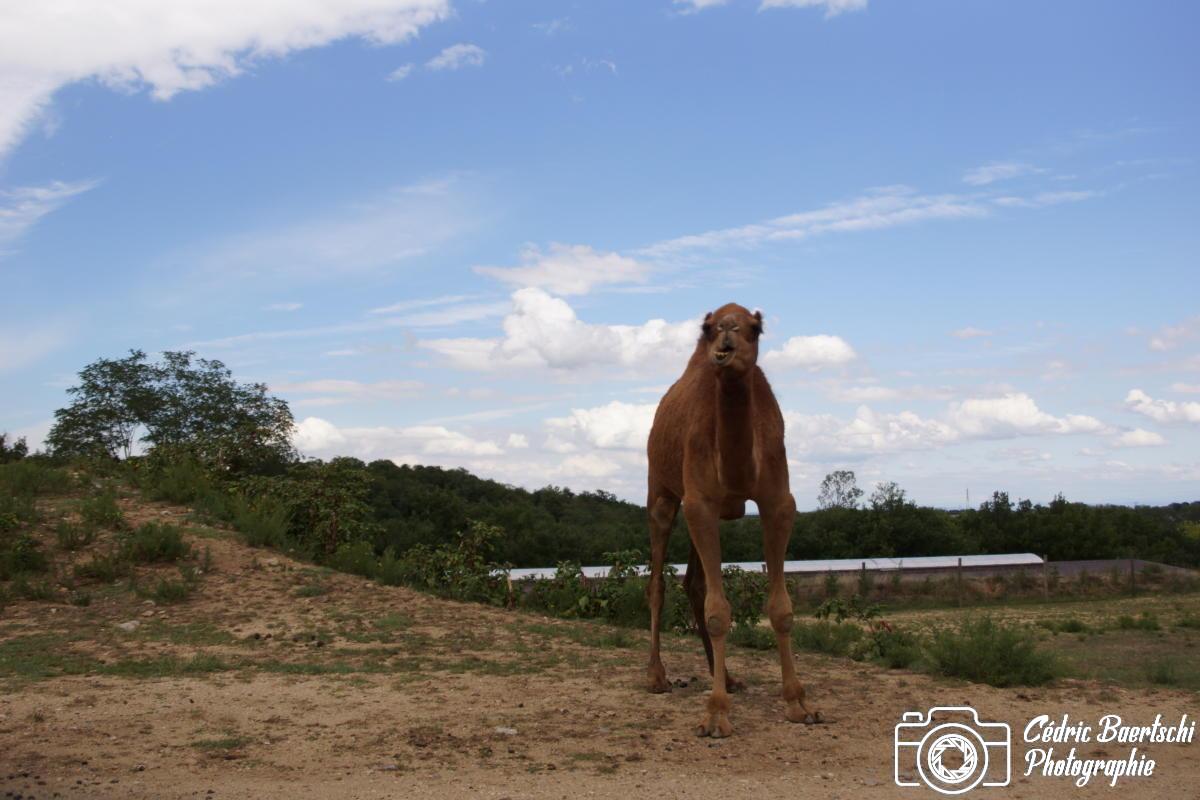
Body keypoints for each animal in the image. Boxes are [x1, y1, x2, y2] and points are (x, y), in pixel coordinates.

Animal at [644, 302, 821, 737]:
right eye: (708, 327)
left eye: (755, 328)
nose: (725, 339)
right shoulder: (699, 502)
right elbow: (718, 611)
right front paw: (716, 715)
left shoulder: (777, 502)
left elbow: (781, 609)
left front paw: (799, 703)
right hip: (662, 491)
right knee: (657, 582)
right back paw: (656, 676)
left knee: (693, 583)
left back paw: (724, 675)